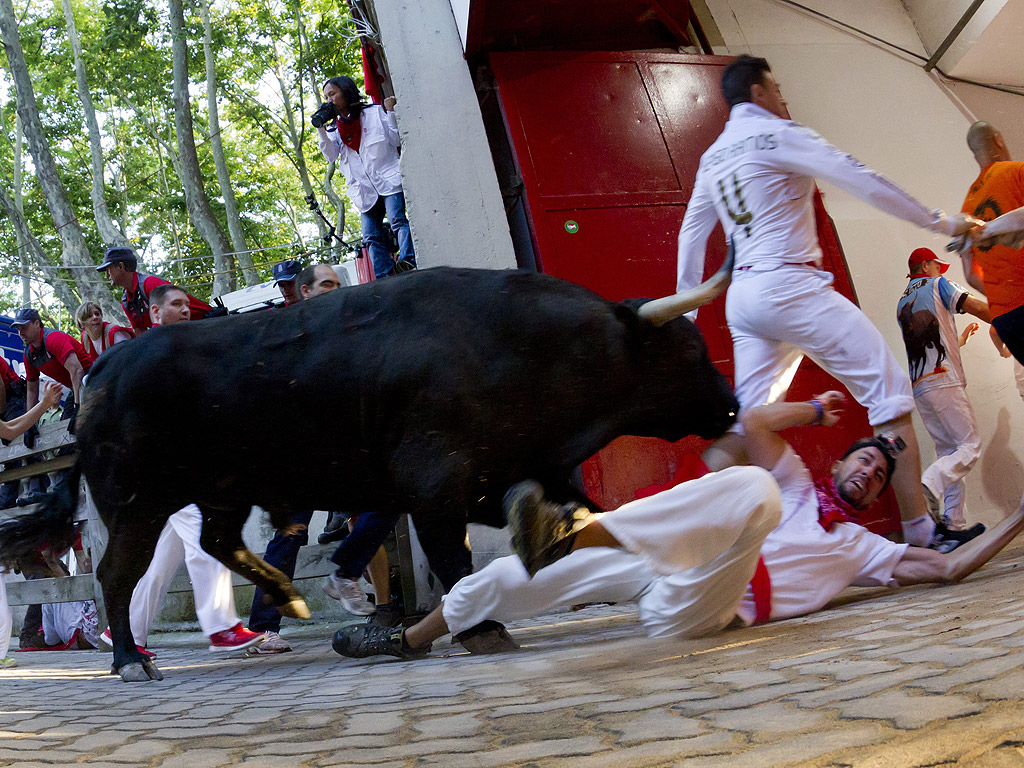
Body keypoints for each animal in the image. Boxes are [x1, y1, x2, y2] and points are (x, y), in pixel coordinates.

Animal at [0, 268, 737, 684]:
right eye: (688, 348)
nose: (730, 405)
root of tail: (102, 368)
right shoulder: (435, 484)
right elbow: (453, 560)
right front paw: (481, 629)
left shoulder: (529, 473)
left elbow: (587, 519)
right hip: (135, 501)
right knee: (116, 574)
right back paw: (130, 659)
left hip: (221, 492)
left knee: (216, 542)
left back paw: (287, 600)